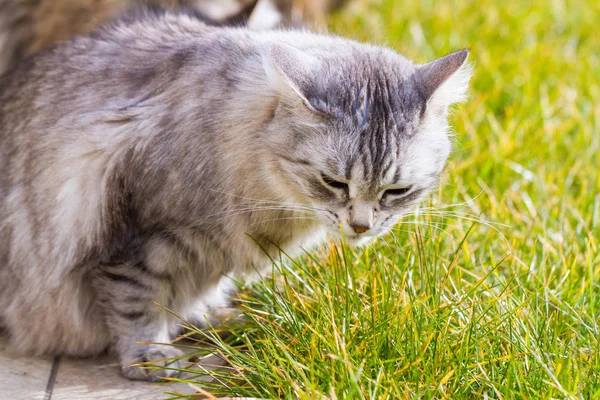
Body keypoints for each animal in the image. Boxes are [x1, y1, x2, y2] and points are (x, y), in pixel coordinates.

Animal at [0, 11, 468, 382]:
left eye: (396, 191)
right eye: (334, 183)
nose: (360, 226)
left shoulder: (208, 252)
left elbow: (197, 291)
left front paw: (213, 318)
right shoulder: (134, 237)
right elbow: (137, 304)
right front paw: (151, 357)